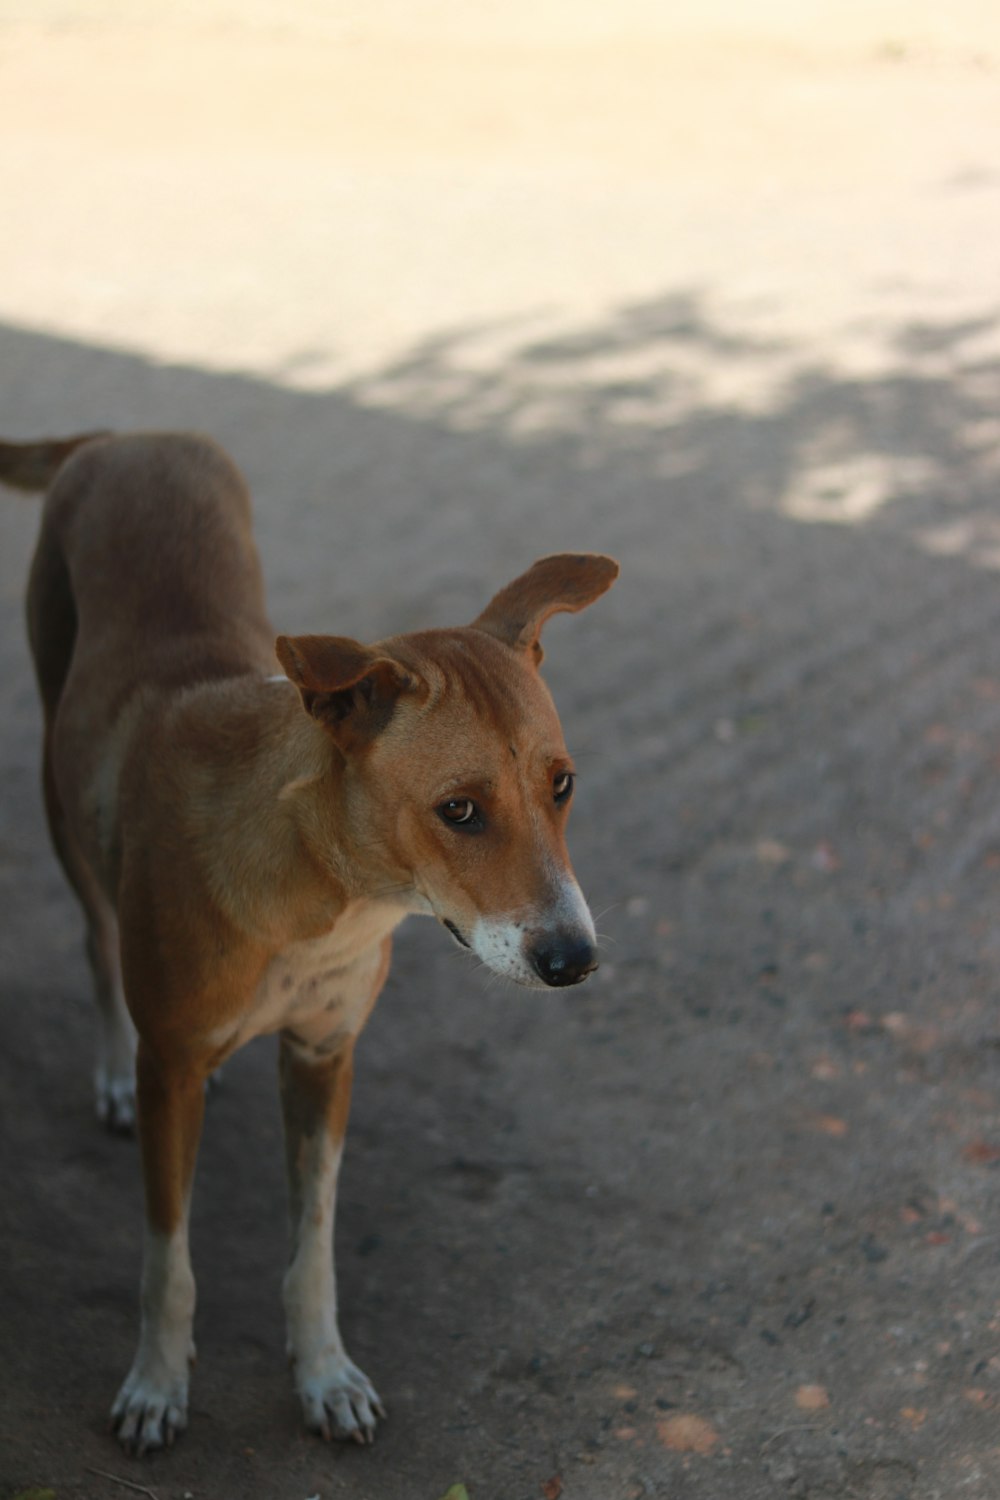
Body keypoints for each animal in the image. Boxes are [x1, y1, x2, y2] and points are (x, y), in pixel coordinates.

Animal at [0, 432, 620, 1452]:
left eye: (562, 785)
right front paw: (157, 1382)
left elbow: (314, 1246)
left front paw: (324, 1374)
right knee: (97, 939)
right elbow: (168, 1263)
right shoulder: (174, 1072)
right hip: (64, 798)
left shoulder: (326, 1056)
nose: (575, 961)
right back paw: (112, 1064)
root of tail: (124, 436)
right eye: (459, 810)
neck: (327, 900)